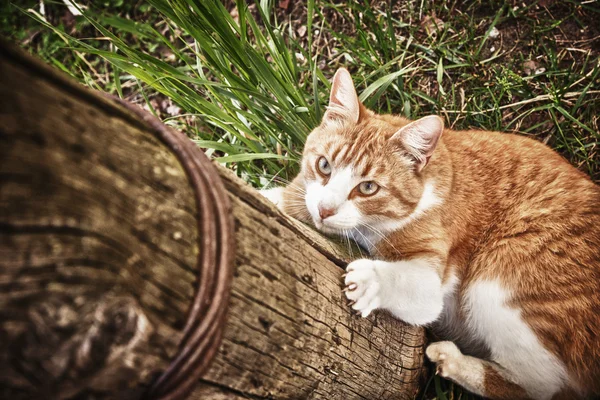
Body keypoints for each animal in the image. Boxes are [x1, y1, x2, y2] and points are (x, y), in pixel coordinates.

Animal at [262, 69, 600, 400]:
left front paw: (370, 280)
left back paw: (453, 361)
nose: (325, 209)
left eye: (368, 188)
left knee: (539, 386)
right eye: (324, 165)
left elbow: (410, 286)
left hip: (498, 274)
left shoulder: (431, 281)